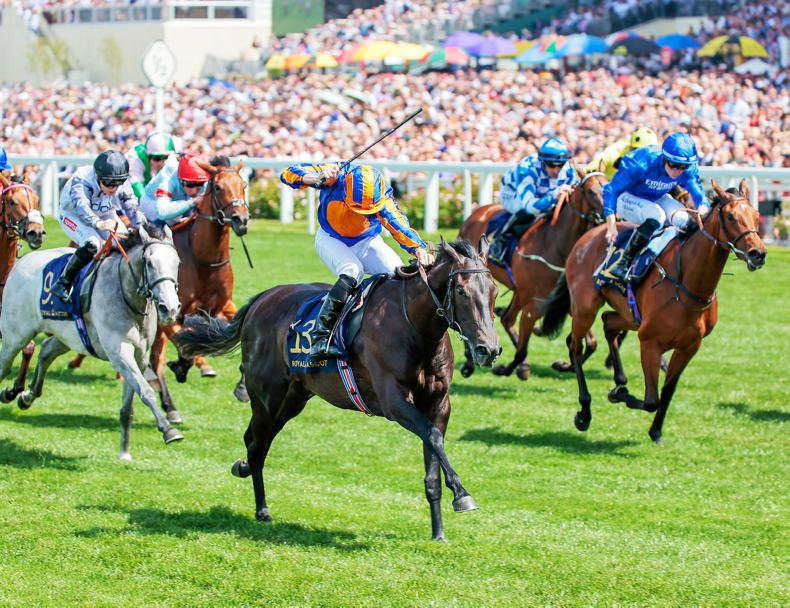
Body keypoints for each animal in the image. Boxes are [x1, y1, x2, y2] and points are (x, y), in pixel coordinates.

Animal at [0, 224, 183, 459]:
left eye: (177, 262)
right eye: (149, 263)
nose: (170, 308)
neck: (128, 297)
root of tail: (21, 262)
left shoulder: (140, 356)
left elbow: (128, 405)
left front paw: (124, 452)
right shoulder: (119, 353)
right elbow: (146, 391)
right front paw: (168, 430)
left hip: (67, 335)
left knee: (46, 350)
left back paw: (27, 396)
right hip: (15, 336)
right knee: (6, 366)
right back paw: (11, 392)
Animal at [173, 238, 500, 541]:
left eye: (494, 291)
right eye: (462, 291)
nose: (488, 350)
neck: (414, 326)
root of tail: (262, 298)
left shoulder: (438, 403)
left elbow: (433, 450)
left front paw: (438, 531)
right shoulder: (394, 402)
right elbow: (432, 437)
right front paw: (463, 495)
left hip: (293, 399)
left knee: (258, 440)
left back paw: (248, 479)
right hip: (266, 395)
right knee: (257, 444)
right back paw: (259, 503)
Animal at [457, 168, 606, 380]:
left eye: (609, 186)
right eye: (591, 191)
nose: (612, 217)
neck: (556, 245)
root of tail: (476, 212)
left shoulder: (569, 302)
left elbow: (591, 343)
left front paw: (564, 365)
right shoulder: (532, 308)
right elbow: (521, 350)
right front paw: (506, 369)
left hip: (519, 290)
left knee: (507, 318)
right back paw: (471, 362)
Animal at [540, 180, 766, 443]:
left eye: (756, 215)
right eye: (730, 216)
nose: (758, 253)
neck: (687, 285)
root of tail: (587, 237)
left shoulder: (690, 346)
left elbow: (667, 391)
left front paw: (655, 430)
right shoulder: (649, 342)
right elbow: (651, 400)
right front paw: (618, 395)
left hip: (628, 314)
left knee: (608, 323)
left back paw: (619, 378)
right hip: (586, 307)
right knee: (575, 345)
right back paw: (584, 411)